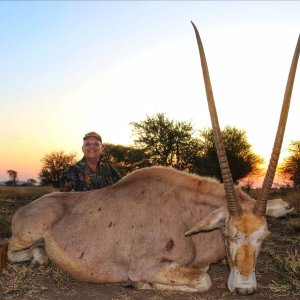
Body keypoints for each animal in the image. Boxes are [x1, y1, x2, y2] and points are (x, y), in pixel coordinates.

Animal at [0, 23, 298, 296]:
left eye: (264, 237)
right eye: (228, 234)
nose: (244, 288)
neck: (187, 214)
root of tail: (25, 209)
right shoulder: (147, 265)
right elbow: (203, 279)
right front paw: (142, 284)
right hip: (26, 235)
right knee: (13, 252)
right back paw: (39, 257)